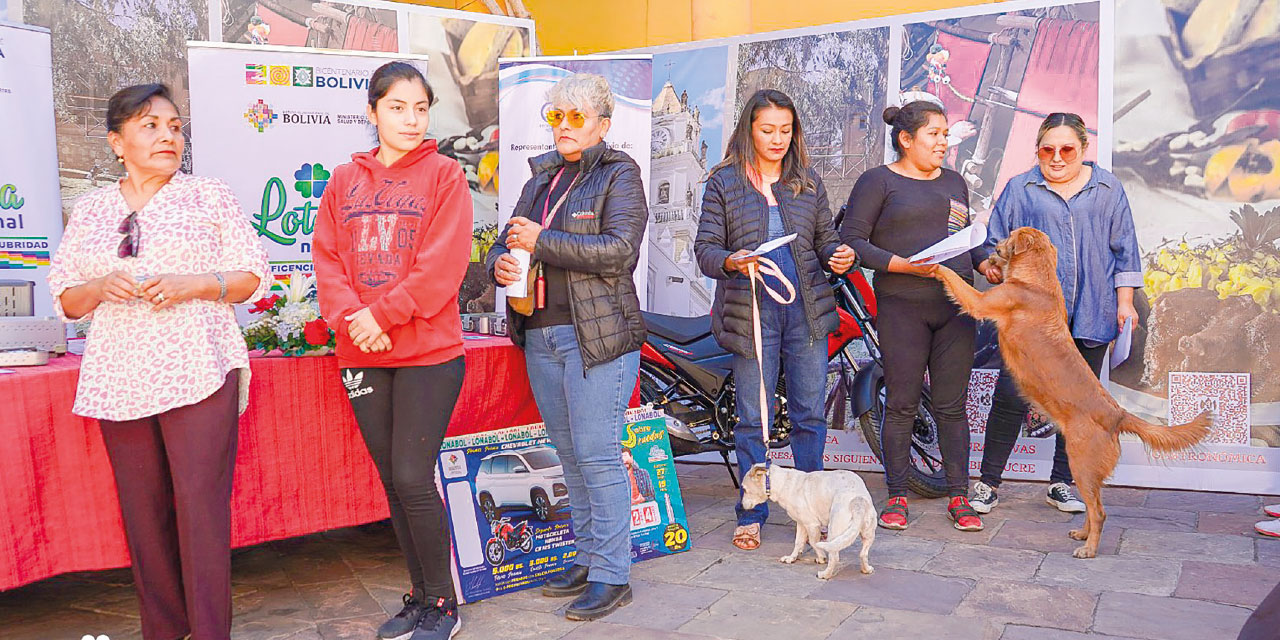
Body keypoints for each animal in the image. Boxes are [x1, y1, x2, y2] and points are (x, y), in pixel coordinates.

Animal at [742, 465, 880, 581]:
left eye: (744, 489)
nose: (742, 507)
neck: (782, 483)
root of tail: (858, 501)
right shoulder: (801, 524)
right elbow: (798, 542)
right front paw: (791, 558)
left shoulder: (811, 524)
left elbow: (814, 543)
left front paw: (821, 558)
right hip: (869, 534)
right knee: (863, 553)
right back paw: (866, 569)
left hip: (834, 530)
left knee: (834, 557)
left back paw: (825, 574)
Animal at [931, 227, 1208, 558]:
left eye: (1010, 235)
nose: (994, 245)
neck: (1038, 281)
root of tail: (1118, 414)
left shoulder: (981, 302)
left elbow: (953, 278)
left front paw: (931, 264)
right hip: (1086, 471)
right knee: (1093, 508)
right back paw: (1081, 534)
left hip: (1081, 464)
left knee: (1099, 512)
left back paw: (1089, 549)